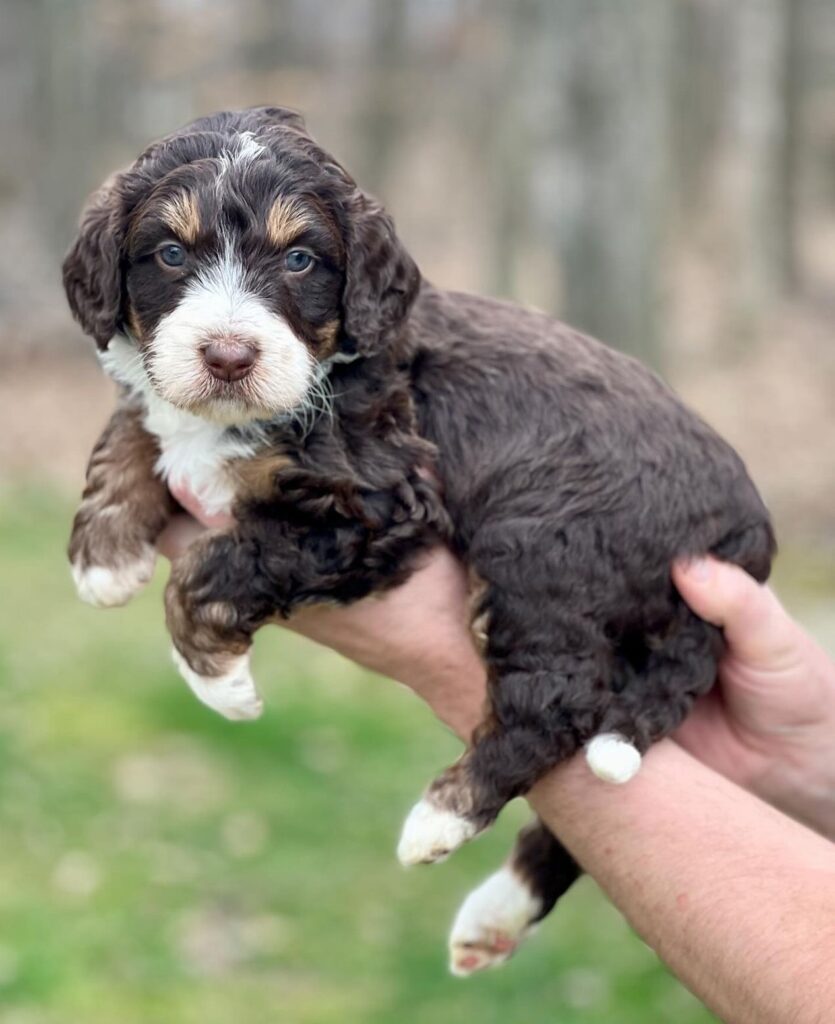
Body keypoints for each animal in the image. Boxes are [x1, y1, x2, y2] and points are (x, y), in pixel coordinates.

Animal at [65, 103, 778, 974]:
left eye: (300, 258)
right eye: (170, 252)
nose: (228, 357)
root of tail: (740, 531)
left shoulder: (377, 504)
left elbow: (212, 569)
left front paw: (220, 682)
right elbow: (138, 420)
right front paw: (105, 551)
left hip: (541, 543)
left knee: (559, 701)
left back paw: (441, 818)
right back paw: (496, 912)